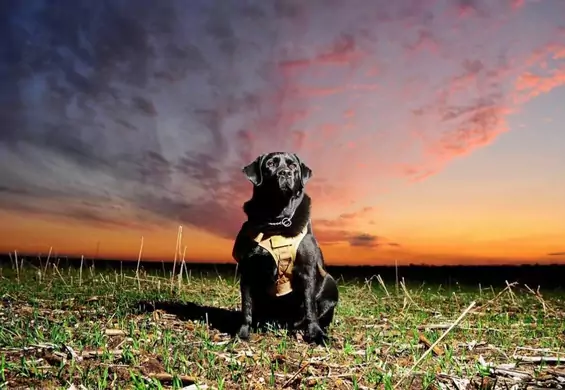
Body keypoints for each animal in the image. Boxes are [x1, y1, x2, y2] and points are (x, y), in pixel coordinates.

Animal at [230, 151, 338, 342]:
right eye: (270, 164)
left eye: (293, 165)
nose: (285, 173)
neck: (277, 221)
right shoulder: (248, 271)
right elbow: (247, 307)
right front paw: (242, 333)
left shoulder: (307, 269)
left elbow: (310, 307)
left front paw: (316, 334)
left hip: (330, 282)